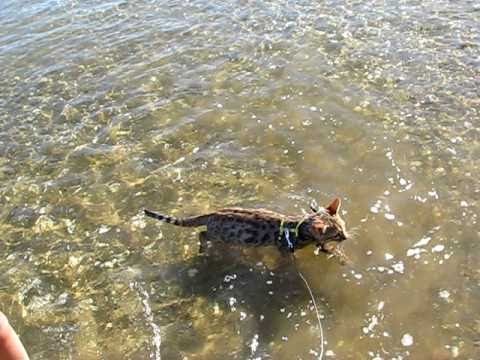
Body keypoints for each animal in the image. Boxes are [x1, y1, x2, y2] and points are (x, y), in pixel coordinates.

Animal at [142, 198, 348, 260]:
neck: (299, 226)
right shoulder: (285, 248)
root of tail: (213, 212)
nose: (346, 237)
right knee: (202, 234)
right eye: (337, 234)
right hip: (220, 235)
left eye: (344, 227)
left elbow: (325, 248)